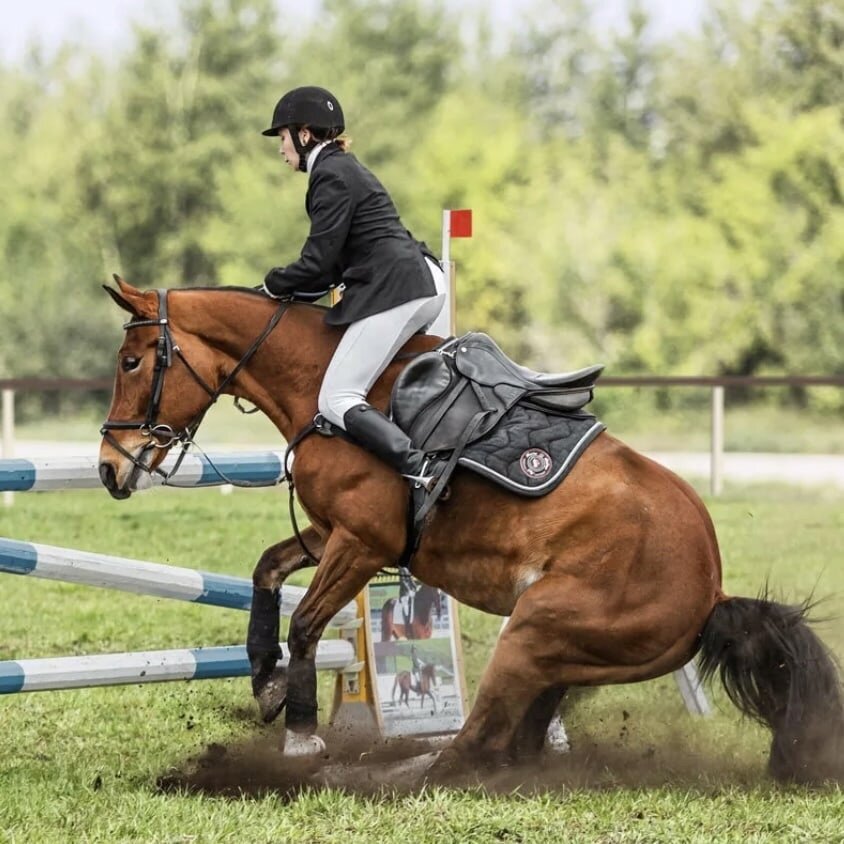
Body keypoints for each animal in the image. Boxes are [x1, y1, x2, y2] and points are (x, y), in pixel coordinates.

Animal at [99, 282, 844, 784]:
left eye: (132, 362)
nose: (110, 467)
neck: (330, 389)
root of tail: (711, 592)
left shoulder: (362, 542)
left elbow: (307, 623)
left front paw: (301, 738)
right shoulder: (329, 528)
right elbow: (266, 570)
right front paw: (265, 682)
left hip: (532, 629)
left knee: (471, 750)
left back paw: (363, 774)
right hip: (554, 659)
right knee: (508, 751)